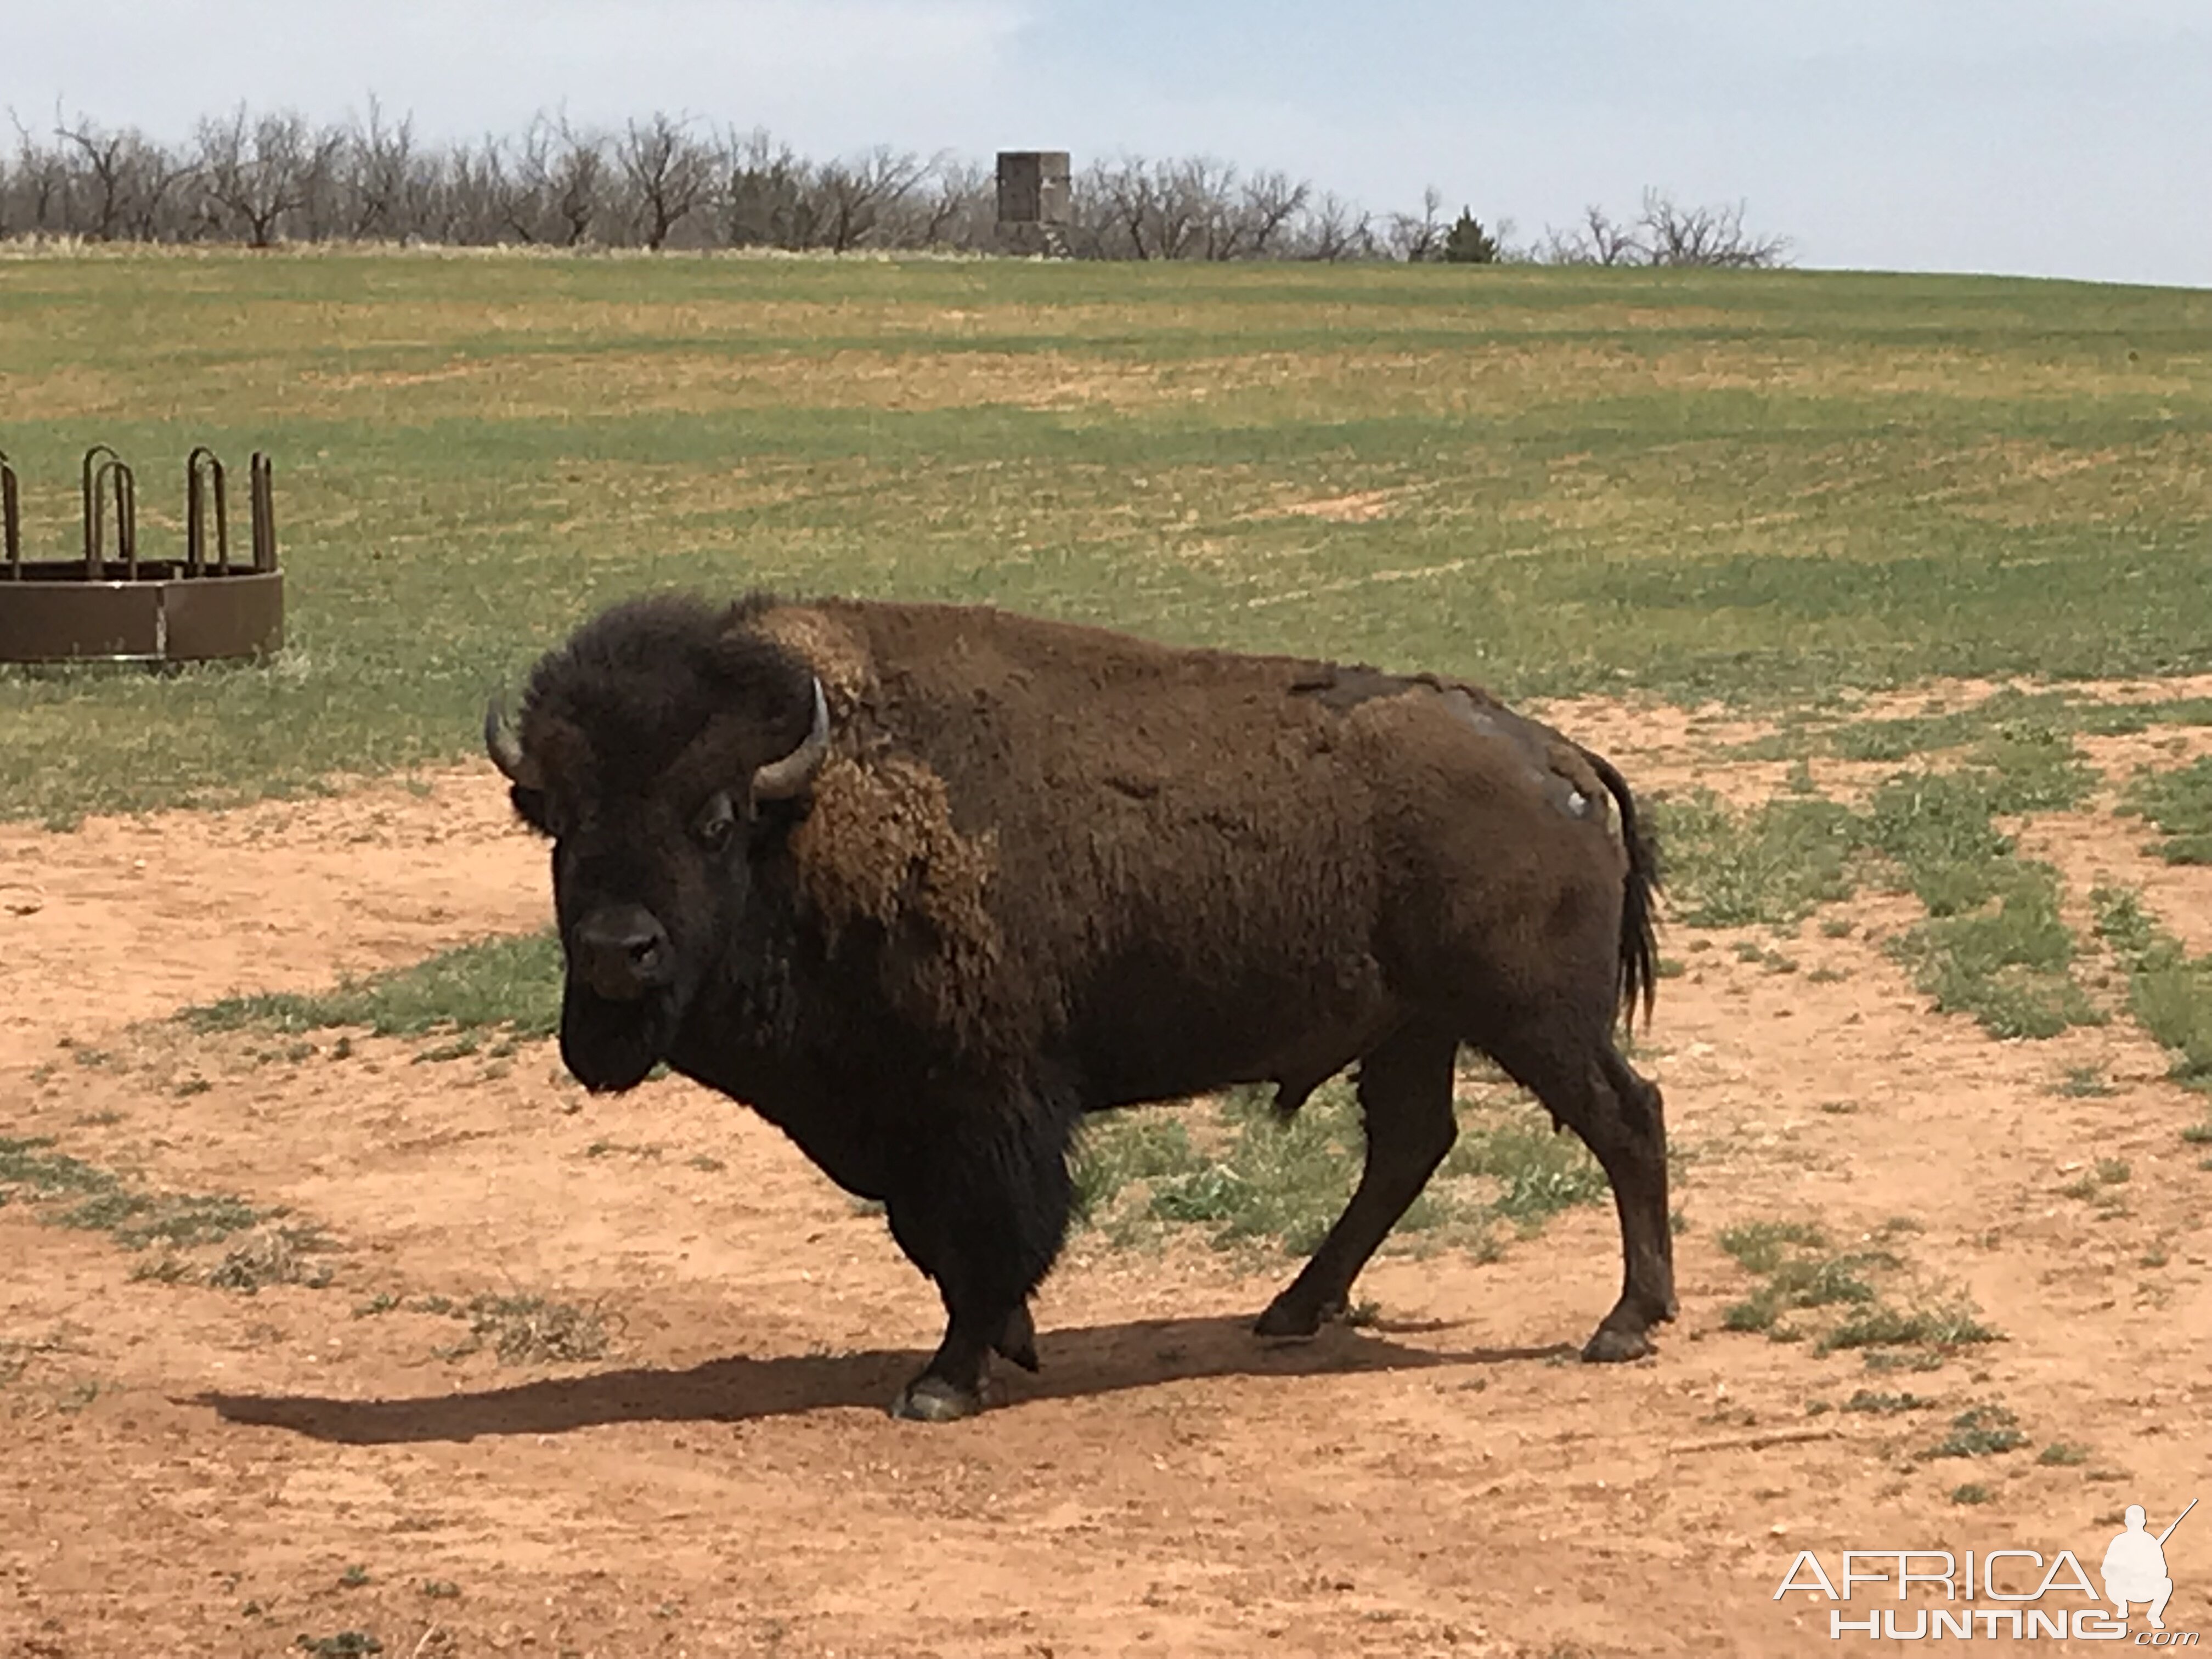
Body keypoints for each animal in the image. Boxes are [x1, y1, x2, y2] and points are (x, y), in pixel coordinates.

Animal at [479, 592, 1663, 1424]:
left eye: (714, 818)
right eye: (561, 819)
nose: (618, 950)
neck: (807, 810)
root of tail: (1558, 756)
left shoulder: (985, 1103)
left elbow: (988, 1233)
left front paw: (948, 1379)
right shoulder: (909, 1122)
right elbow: (936, 1239)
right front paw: (1009, 1343)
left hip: (1532, 1019)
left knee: (1625, 1117)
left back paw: (1625, 1324)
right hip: (1415, 1030)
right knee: (1412, 1145)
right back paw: (1289, 1311)